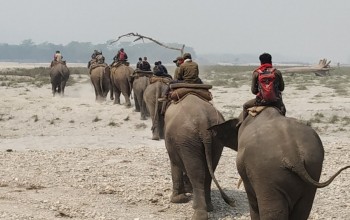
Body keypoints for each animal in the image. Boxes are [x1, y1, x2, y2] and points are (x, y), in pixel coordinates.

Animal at [164, 92, 235, 220]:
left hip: (187, 139)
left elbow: (174, 163)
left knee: (197, 174)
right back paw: (209, 208)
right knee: (208, 173)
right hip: (216, 139)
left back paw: (199, 213)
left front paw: (177, 200)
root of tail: (203, 122)